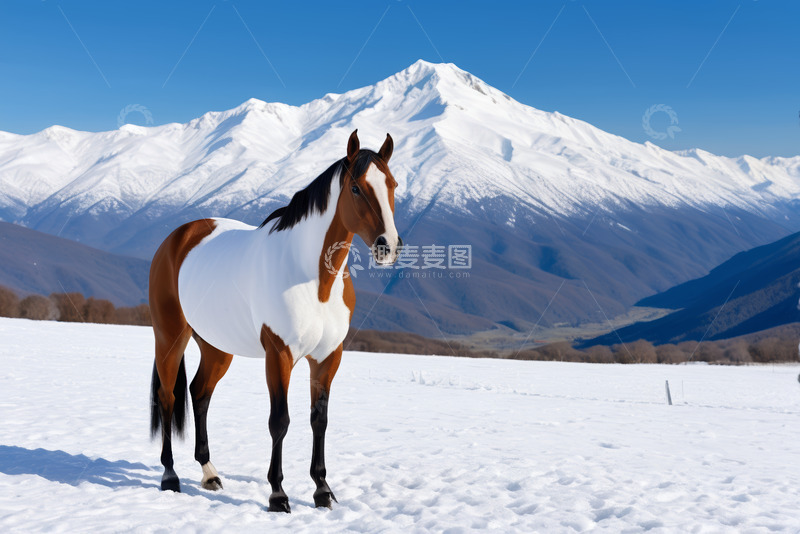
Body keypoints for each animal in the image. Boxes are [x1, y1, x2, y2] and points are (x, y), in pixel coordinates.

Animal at [148, 130, 401, 512]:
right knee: (168, 397)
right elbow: (279, 421)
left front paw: (322, 491)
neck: (312, 280)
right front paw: (278, 495)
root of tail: (177, 238)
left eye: (393, 185)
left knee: (199, 393)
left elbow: (319, 420)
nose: (389, 246)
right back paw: (170, 476)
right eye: (357, 188)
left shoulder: (328, 357)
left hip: (217, 347)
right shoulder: (279, 355)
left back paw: (209, 473)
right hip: (170, 336)